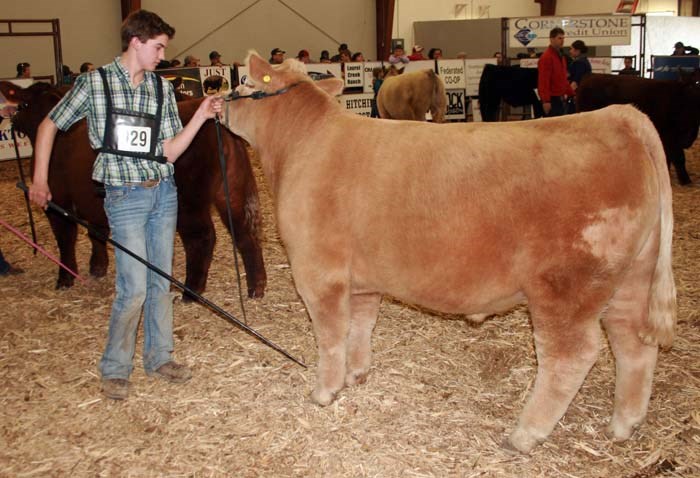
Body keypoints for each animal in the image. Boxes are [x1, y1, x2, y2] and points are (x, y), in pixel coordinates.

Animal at [2, 81, 266, 298]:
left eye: (23, 104)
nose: (12, 120)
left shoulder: (57, 202)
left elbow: (65, 239)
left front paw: (65, 278)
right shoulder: (93, 204)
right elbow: (96, 233)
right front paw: (97, 267)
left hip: (189, 202)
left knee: (202, 238)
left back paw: (191, 291)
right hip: (232, 190)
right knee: (245, 232)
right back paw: (256, 287)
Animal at [221, 54, 676, 454]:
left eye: (242, 81)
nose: (217, 100)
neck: (301, 145)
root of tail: (618, 116)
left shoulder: (318, 271)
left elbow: (332, 334)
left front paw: (324, 391)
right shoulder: (362, 279)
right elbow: (361, 327)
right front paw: (357, 374)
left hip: (565, 287)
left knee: (570, 356)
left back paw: (525, 435)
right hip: (631, 278)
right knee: (634, 344)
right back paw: (624, 424)